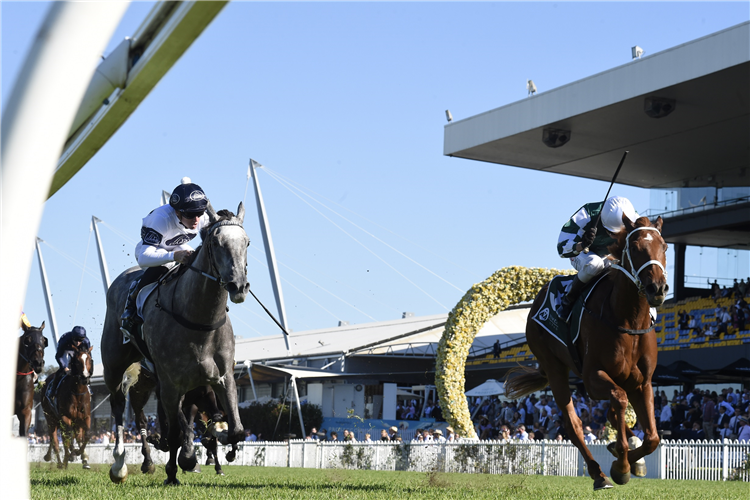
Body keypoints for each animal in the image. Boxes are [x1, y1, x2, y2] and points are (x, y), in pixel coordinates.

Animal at [100, 202, 250, 484]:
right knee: (118, 406)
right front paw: (176, 468)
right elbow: (177, 433)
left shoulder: (222, 379)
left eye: (247, 242)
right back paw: (120, 464)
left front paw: (221, 437)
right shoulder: (171, 386)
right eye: (216, 242)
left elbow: (235, 428)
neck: (199, 322)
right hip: (114, 366)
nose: (239, 286)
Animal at [506, 214, 668, 488]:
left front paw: (628, 457)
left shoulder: (642, 382)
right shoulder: (593, 378)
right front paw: (621, 466)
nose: (657, 288)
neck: (629, 321)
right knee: (574, 425)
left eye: (664, 247)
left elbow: (653, 438)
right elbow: (619, 399)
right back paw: (598, 474)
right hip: (554, 367)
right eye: (635, 247)